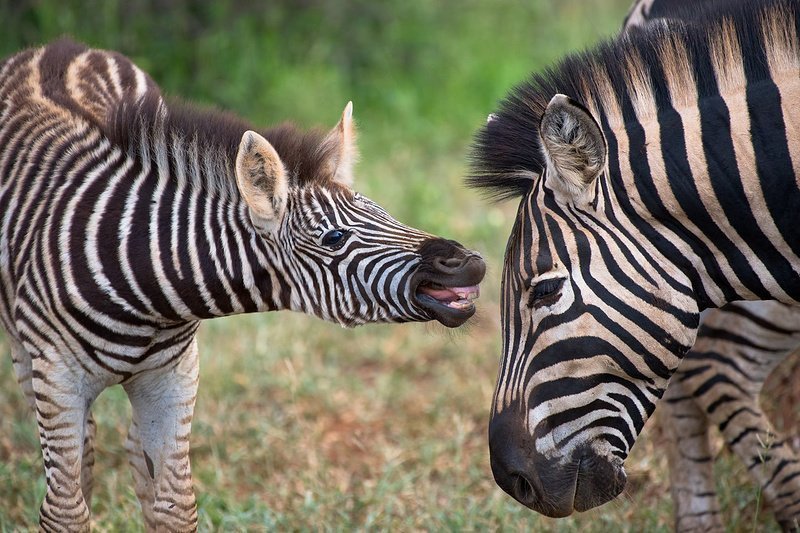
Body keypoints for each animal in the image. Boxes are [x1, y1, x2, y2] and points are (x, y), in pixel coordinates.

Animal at [0, 40, 484, 532]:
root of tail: (61, 46)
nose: (469, 264)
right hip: (28, 360)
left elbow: (176, 505)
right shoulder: (57, 376)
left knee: (134, 451)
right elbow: (64, 510)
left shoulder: (172, 375)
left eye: (384, 213)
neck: (142, 274)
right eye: (333, 238)